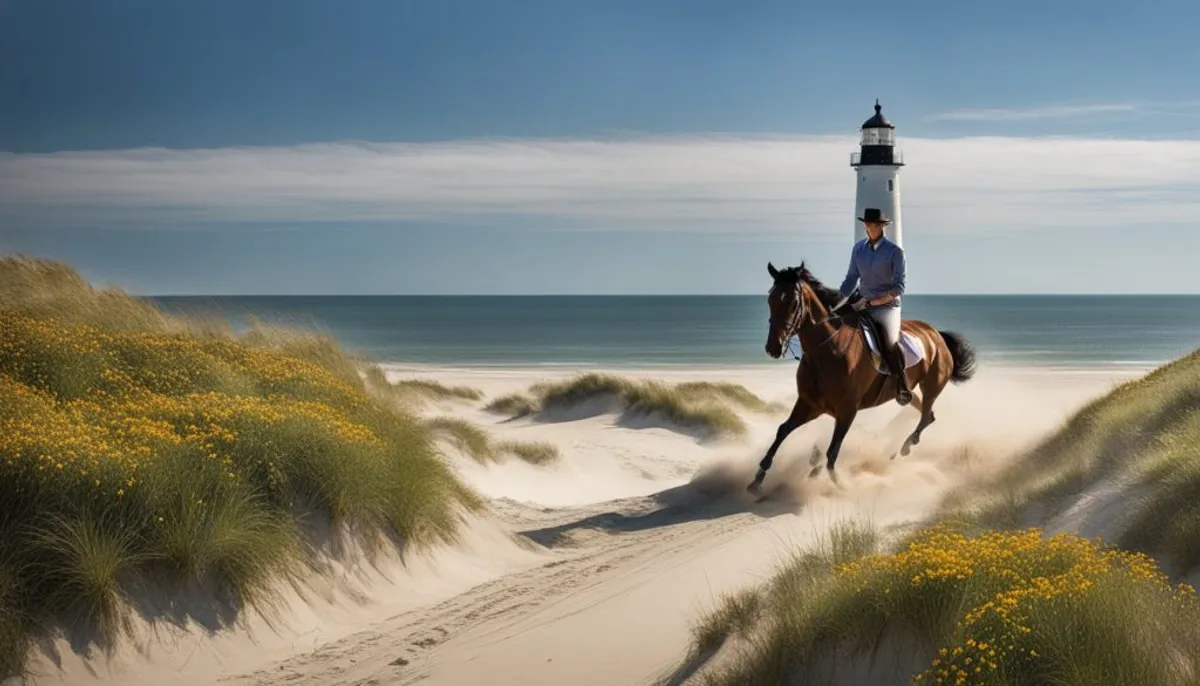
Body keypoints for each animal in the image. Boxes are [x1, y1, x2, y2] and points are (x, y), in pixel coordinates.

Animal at [744, 261, 979, 494]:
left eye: (793, 303)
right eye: (770, 299)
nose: (773, 347)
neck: (828, 350)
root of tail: (936, 334)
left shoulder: (847, 411)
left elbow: (832, 450)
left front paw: (839, 483)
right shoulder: (810, 405)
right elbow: (783, 430)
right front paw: (758, 477)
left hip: (932, 386)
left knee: (926, 414)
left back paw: (902, 448)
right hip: (909, 392)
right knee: (926, 414)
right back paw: (892, 449)